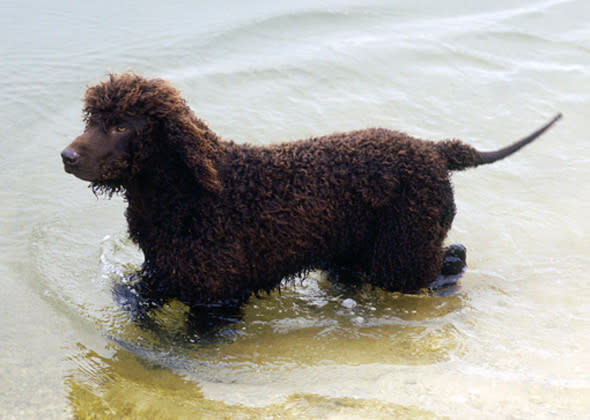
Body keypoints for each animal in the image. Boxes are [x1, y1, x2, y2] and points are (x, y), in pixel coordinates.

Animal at [61, 73, 564, 318]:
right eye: (92, 119)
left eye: (121, 126)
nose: (66, 156)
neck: (184, 194)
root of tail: (434, 149)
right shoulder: (161, 274)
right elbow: (131, 298)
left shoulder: (216, 297)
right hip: (361, 253)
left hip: (403, 252)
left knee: (451, 259)